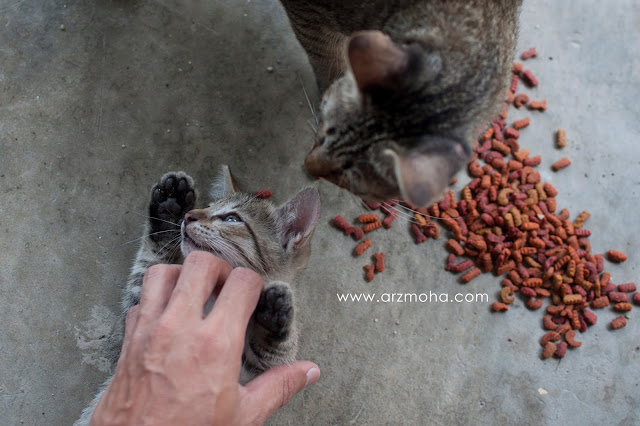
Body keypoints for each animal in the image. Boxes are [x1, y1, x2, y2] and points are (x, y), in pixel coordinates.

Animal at [75, 166, 322, 426]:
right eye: (209, 206)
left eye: (232, 219)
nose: (189, 215)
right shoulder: (142, 305)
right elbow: (149, 265)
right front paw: (168, 209)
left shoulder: (252, 372)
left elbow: (274, 351)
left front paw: (275, 312)